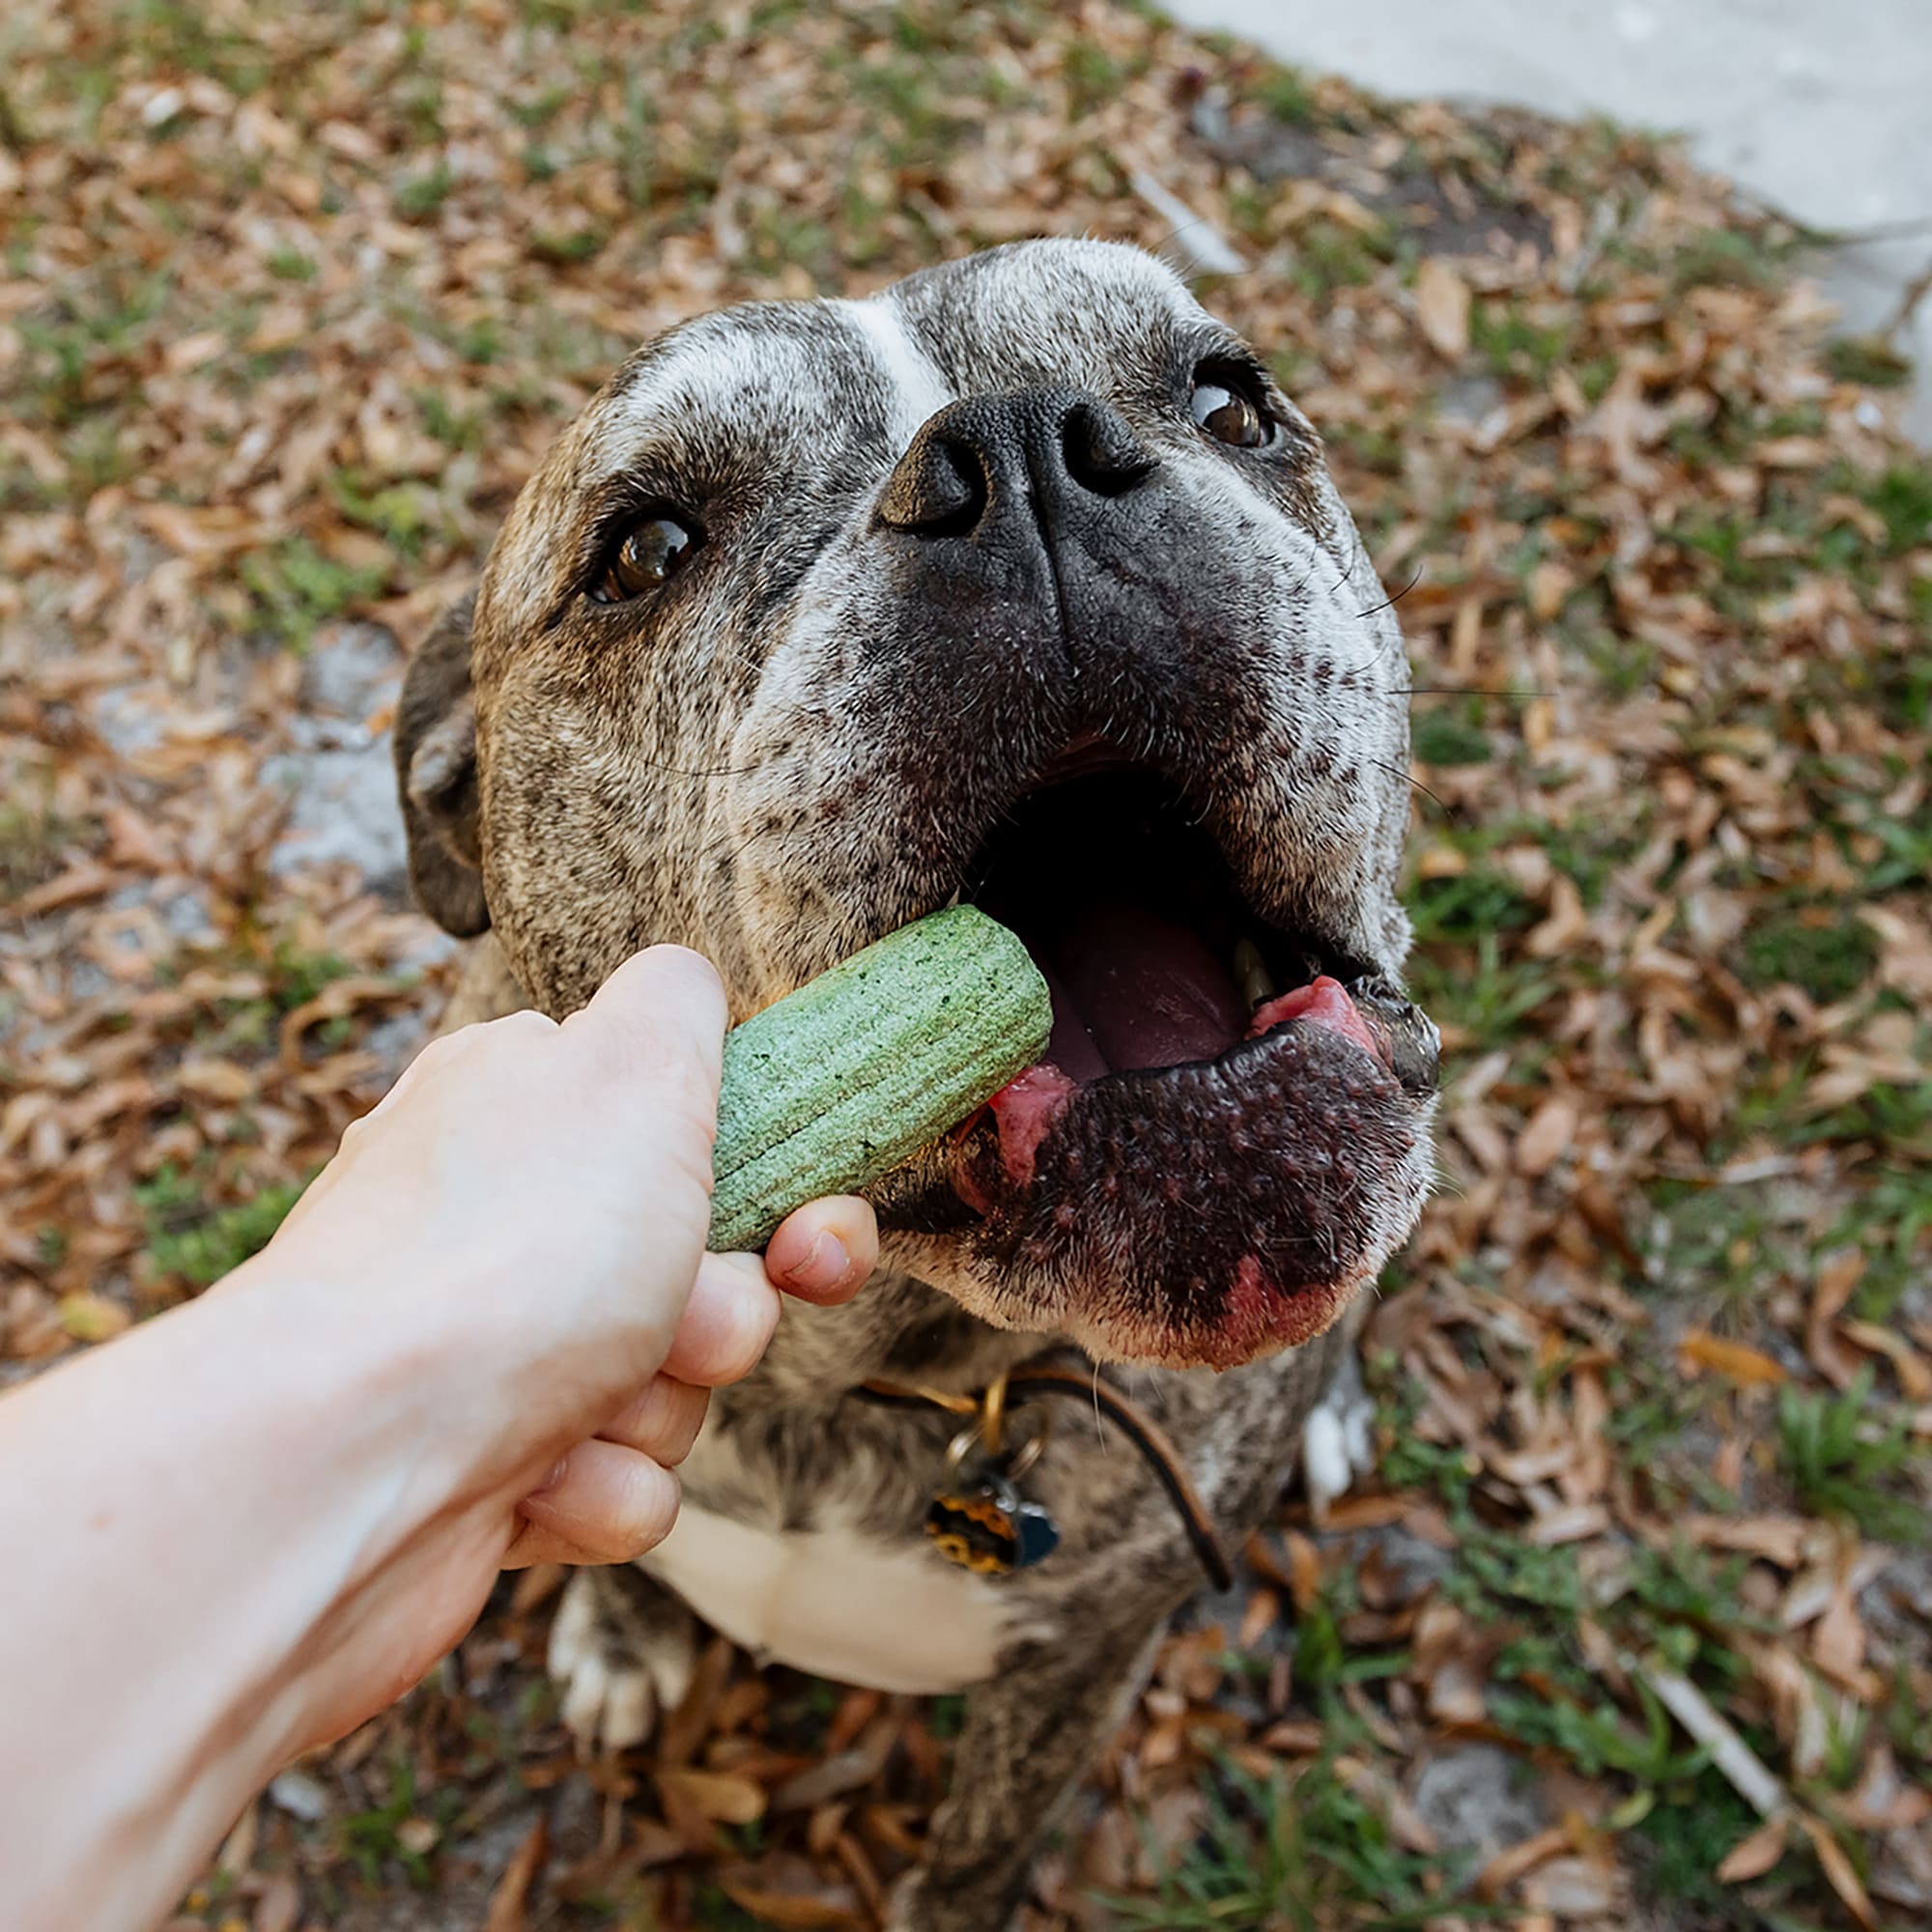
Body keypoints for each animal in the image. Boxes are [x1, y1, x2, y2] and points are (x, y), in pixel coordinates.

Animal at [392, 234, 1437, 1924]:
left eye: (1230, 402)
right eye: (643, 550)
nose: (1021, 451)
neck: (863, 1380)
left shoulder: (1076, 1676)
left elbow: (974, 1866)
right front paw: (622, 1636)